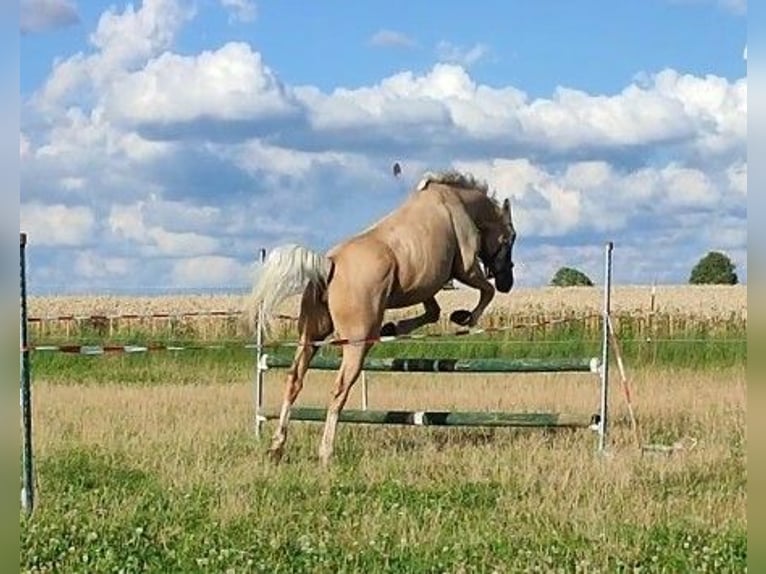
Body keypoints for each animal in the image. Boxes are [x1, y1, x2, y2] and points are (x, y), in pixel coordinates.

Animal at [249, 171, 520, 468]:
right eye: (511, 238)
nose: (507, 283)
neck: (457, 202)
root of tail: (328, 263)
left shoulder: (425, 286)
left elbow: (434, 312)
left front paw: (394, 327)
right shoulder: (467, 270)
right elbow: (484, 293)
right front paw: (464, 318)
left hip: (310, 336)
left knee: (294, 380)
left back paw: (276, 447)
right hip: (356, 343)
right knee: (338, 390)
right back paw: (326, 452)